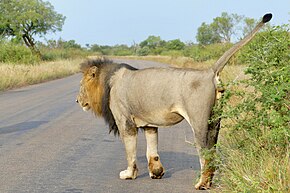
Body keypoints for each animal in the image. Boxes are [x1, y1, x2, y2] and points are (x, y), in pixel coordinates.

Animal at [76, 13, 272, 190]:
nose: (77, 100)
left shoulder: (125, 122)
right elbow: (152, 150)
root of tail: (209, 71)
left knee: (204, 153)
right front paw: (156, 173)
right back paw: (207, 183)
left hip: (199, 121)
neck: (110, 81)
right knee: (212, 152)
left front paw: (129, 174)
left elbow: (130, 152)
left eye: (81, 85)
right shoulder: (149, 124)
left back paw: (201, 184)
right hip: (215, 122)